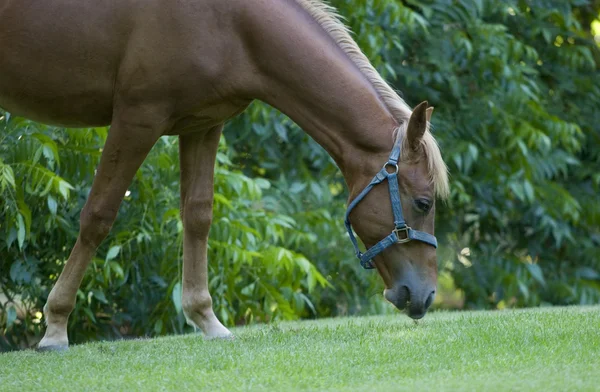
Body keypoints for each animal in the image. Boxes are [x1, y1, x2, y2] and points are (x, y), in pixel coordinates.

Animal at [0, 0, 448, 350]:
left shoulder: (203, 125)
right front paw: (55, 326)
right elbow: (98, 215)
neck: (232, 23)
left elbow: (198, 216)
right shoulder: (137, 118)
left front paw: (206, 319)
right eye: (423, 202)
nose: (426, 295)